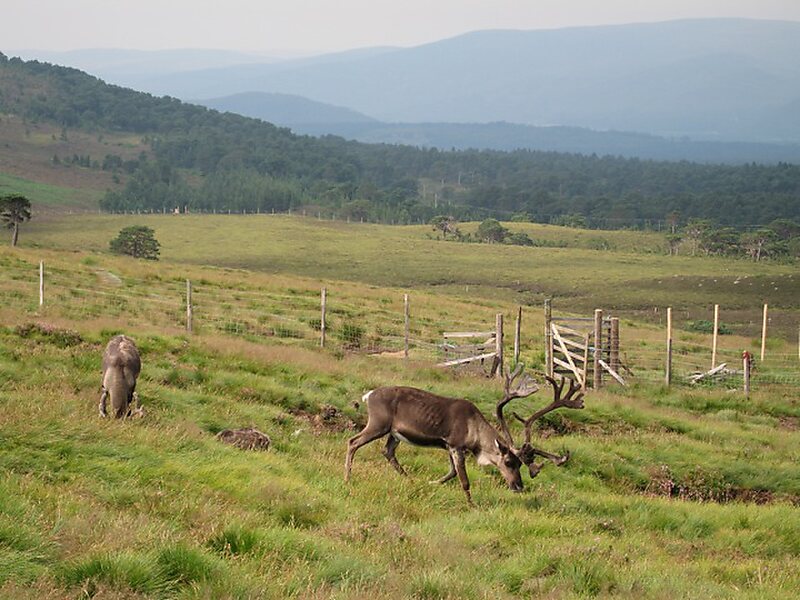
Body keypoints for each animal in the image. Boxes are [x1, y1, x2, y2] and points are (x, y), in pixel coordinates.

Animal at [344, 365, 585, 504]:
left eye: (520, 464)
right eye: (508, 462)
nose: (519, 486)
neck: (474, 432)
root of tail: (368, 395)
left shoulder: (449, 447)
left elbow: (451, 473)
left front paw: (431, 483)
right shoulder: (456, 445)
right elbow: (464, 480)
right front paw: (471, 505)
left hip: (394, 433)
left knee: (388, 452)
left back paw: (409, 479)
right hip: (379, 424)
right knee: (353, 441)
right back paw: (348, 478)